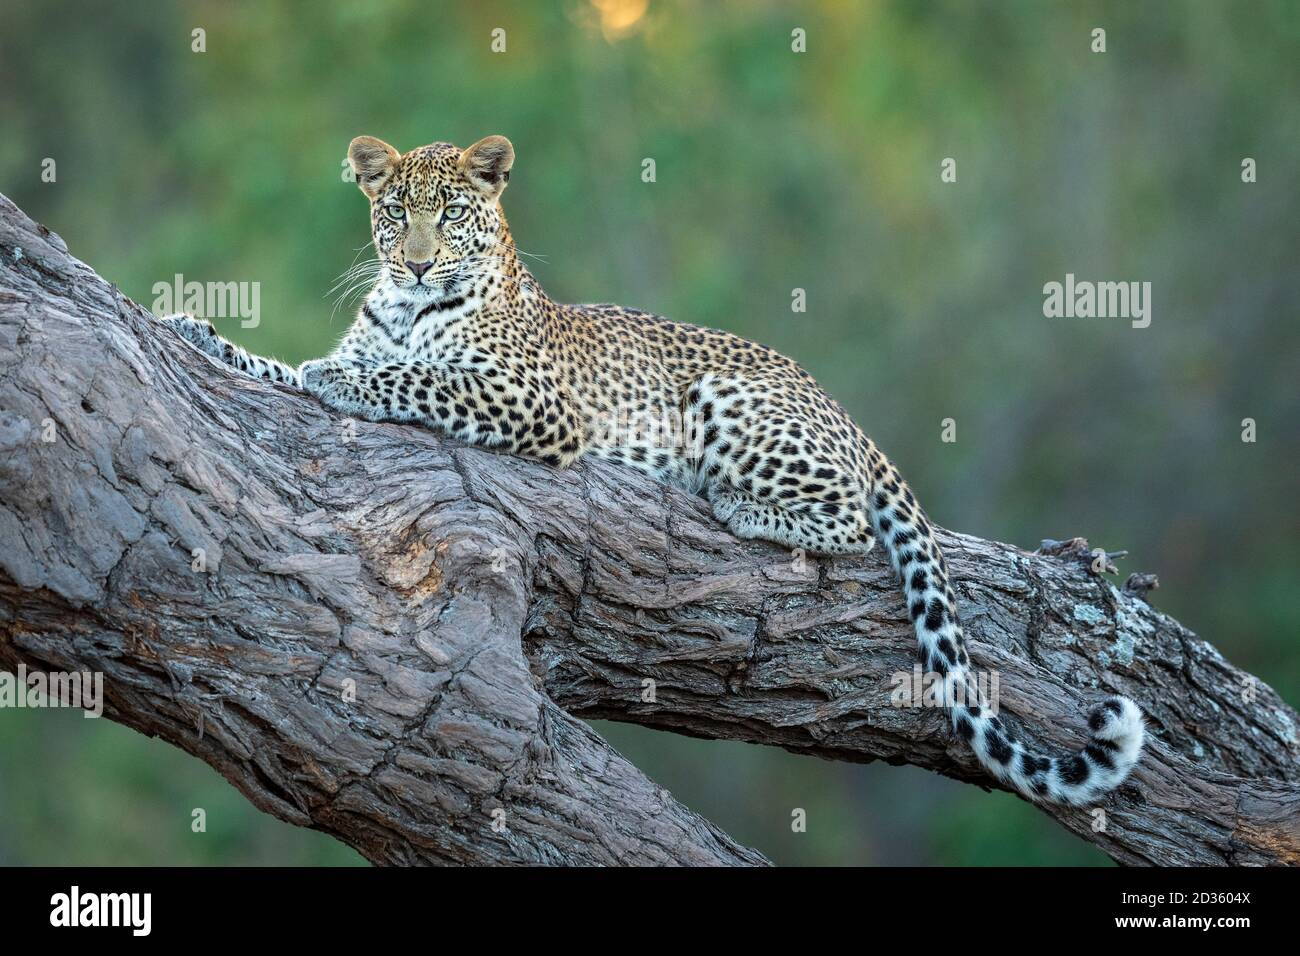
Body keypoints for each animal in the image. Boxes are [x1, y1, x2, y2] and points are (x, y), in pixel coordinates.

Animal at [165, 132, 1149, 806]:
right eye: (394, 210)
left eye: (450, 215)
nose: (413, 263)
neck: (406, 308)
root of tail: (847, 416)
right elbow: (281, 369)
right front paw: (194, 331)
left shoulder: (535, 402)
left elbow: (414, 377)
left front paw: (347, 378)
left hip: (731, 398)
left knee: (849, 518)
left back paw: (738, 506)